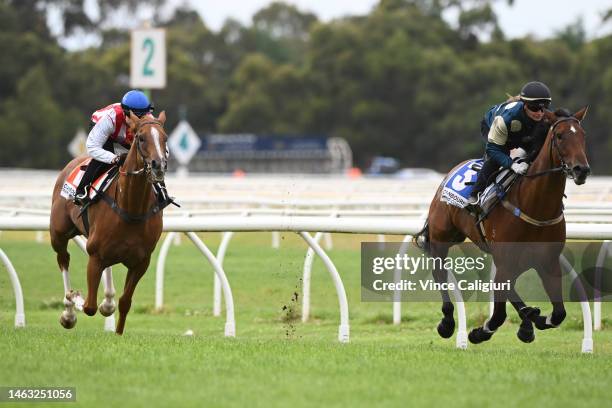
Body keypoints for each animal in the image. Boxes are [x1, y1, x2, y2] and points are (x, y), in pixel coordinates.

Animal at [50, 111, 169, 334]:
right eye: (141, 138)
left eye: (165, 138)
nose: (158, 166)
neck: (131, 208)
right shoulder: (95, 256)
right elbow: (89, 306)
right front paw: (74, 297)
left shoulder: (141, 262)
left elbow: (125, 302)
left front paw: (117, 331)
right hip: (58, 234)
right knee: (63, 260)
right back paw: (68, 312)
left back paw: (107, 300)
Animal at [414, 105, 592, 344]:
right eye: (560, 136)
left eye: (582, 136)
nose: (581, 169)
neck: (536, 206)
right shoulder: (506, 260)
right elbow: (498, 314)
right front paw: (479, 332)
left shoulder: (548, 261)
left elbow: (558, 314)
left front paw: (533, 320)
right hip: (442, 236)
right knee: (439, 273)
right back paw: (447, 322)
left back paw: (527, 319)